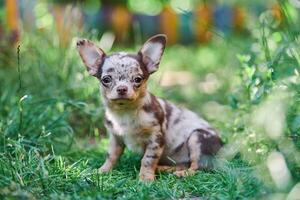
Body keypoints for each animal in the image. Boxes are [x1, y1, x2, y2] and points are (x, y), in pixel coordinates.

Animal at [77, 34, 223, 181]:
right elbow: (111, 156)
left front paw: (145, 179)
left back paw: (182, 173)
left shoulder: (155, 139)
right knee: (184, 164)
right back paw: (163, 168)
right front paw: (102, 171)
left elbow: (148, 159)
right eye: (106, 80)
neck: (125, 112)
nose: (122, 88)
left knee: (198, 167)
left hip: (197, 138)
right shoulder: (115, 138)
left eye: (138, 79)